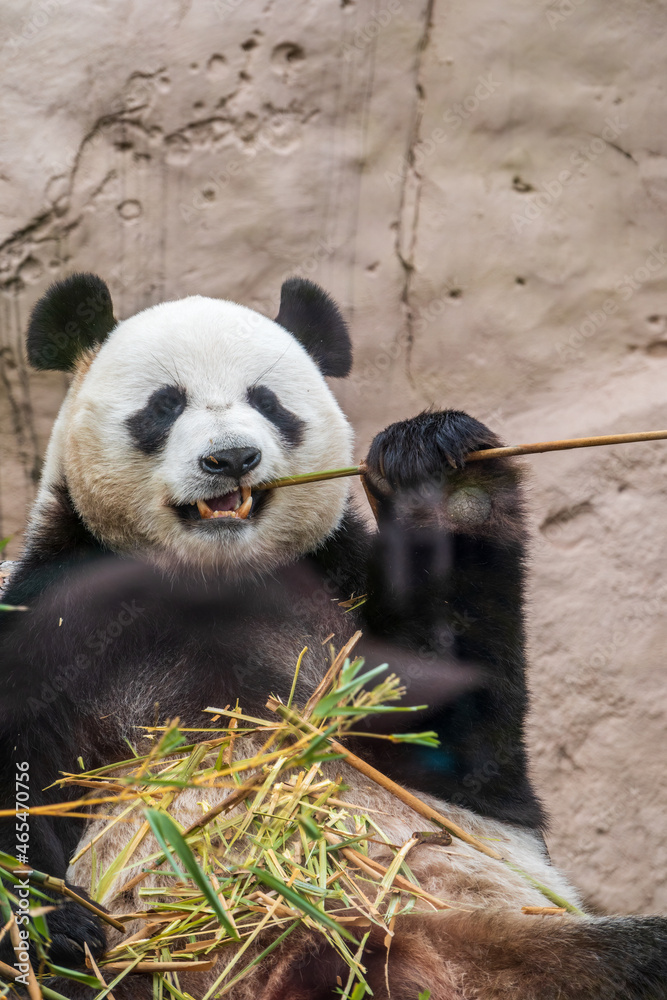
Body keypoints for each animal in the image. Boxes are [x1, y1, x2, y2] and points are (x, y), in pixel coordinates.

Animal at [0, 272, 666, 1000]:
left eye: (266, 402)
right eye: (164, 405)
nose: (232, 458)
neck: (216, 581)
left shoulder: (333, 600)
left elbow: (452, 744)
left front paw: (440, 476)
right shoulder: (54, 622)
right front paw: (55, 922)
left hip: (505, 941)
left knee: (628, 956)